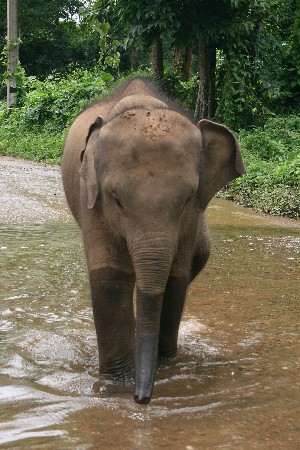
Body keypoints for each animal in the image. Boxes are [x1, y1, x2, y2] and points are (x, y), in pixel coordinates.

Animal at [61, 77, 246, 404]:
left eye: (187, 199)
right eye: (115, 198)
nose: (142, 399)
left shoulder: (191, 219)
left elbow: (174, 279)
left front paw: (166, 368)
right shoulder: (91, 199)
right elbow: (110, 278)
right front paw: (117, 385)